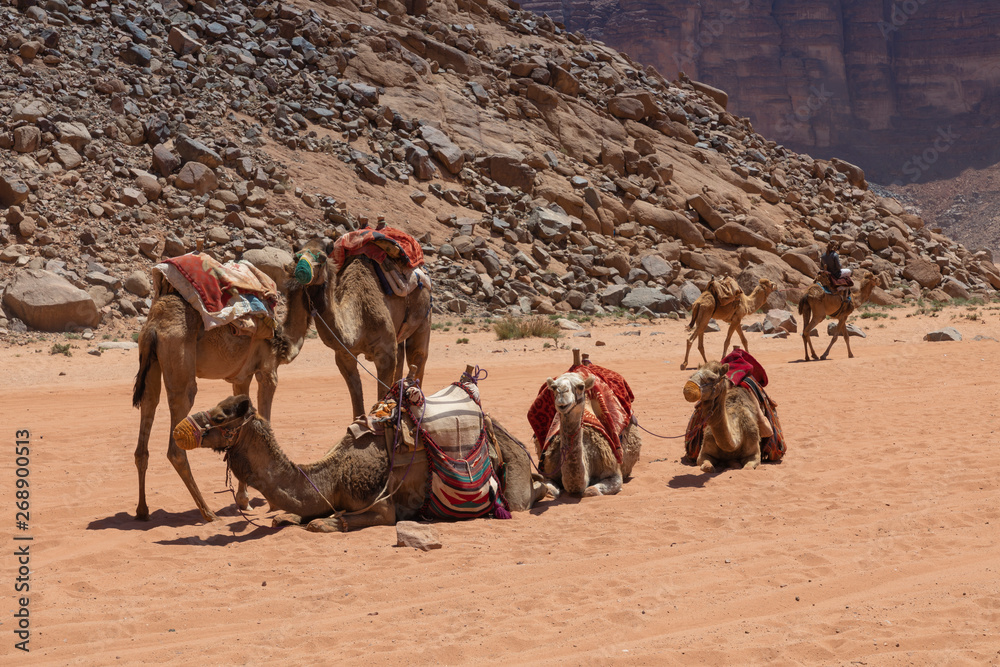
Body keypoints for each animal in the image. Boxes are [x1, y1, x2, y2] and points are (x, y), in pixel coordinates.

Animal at [132, 292, 293, 523]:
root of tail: (154, 327)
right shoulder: (268, 371)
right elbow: (265, 417)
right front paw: (267, 503)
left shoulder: (241, 377)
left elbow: (245, 420)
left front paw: (244, 500)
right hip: (180, 364)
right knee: (176, 447)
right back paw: (208, 513)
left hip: (150, 363)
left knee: (147, 416)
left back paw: (142, 511)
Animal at [176, 393, 555, 532]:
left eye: (220, 416)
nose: (180, 430)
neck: (333, 475)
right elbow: (289, 515)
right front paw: (287, 516)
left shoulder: (383, 506)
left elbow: (330, 521)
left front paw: (322, 523)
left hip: (513, 481)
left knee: (522, 498)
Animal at [285, 238, 432, 418]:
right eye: (296, 257)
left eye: (322, 257)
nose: (301, 270)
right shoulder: (344, 355)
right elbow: (356, 397)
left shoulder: (385, 353)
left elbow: (382, 391)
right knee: (402, 358)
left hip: (424, 317)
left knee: (418, 357)